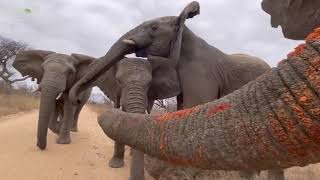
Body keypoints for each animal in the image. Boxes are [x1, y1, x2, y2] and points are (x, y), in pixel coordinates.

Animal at [69, 0, 270, 179]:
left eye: (153, 27)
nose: (75, 98)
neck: (185, 33)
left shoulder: (201, 72)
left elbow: (193, 108)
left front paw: (183, 174)